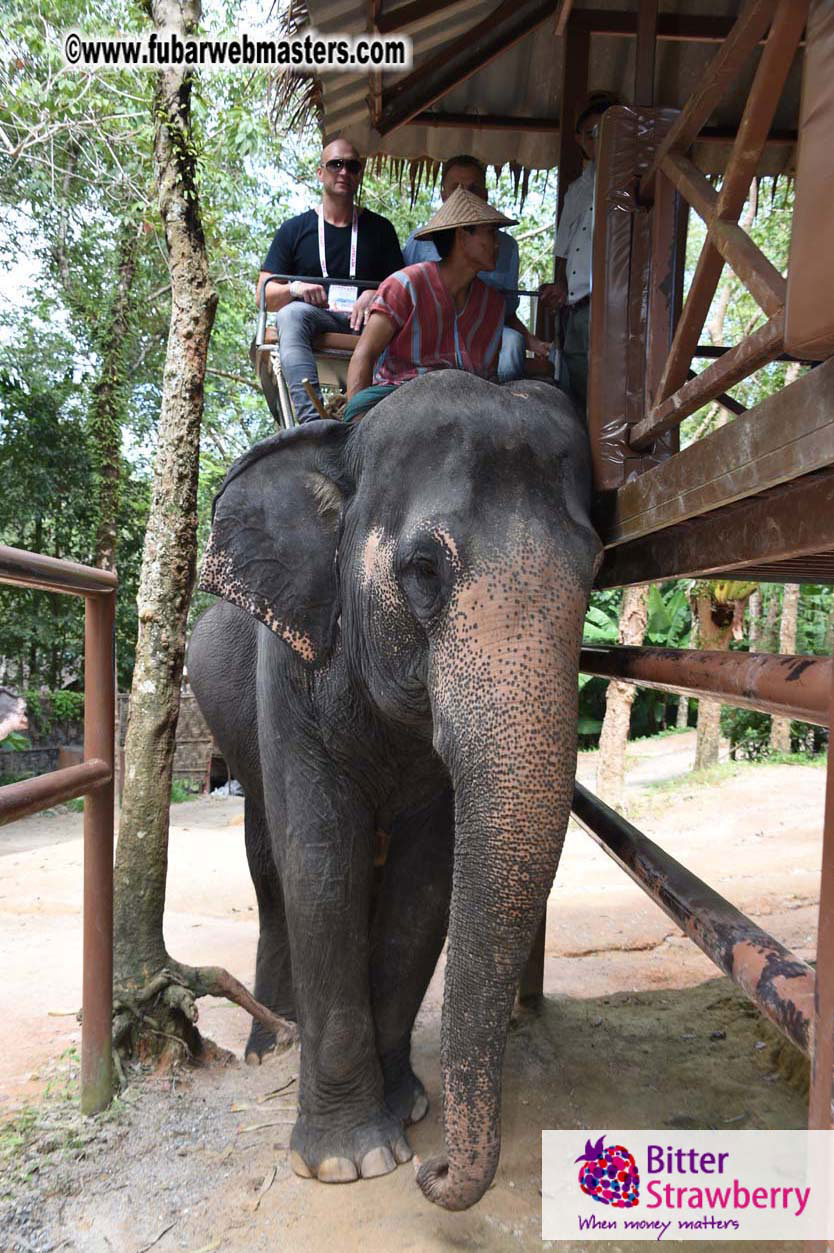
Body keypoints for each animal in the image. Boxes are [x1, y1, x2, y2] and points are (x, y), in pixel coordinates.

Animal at [187, 370, 601, 1211]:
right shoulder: (290, 671)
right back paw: (272, 1043)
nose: (435, 1170)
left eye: (596, 571)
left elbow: (424, 883)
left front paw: (405, 1107)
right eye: (424, 570)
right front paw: (350, 1159)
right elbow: (322, 865)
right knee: (270, 866)